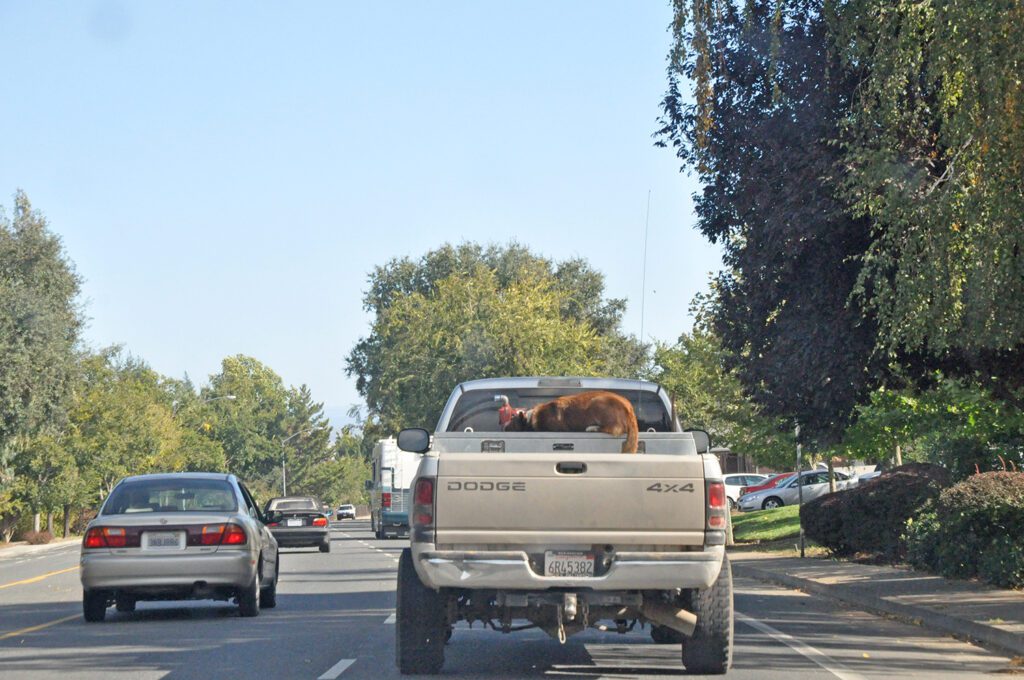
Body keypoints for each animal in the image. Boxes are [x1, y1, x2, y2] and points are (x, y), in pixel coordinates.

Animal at [505, 391, 638, 454]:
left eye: (512, 419)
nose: (504, 428)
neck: (531, 417)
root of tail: (629, 407)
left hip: (597, 403)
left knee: (616, 428)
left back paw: (592, 428)